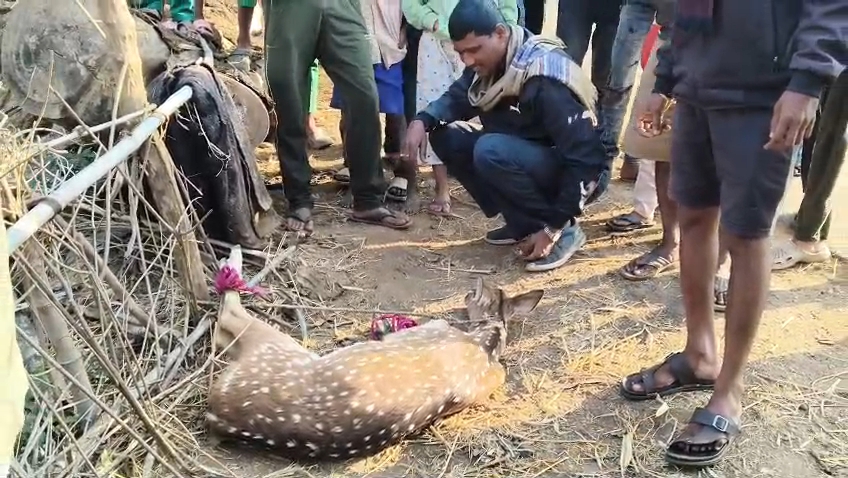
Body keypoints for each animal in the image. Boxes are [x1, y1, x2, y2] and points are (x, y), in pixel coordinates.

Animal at [206, 246, 544, 461]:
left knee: (228, 317)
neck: (486, 341)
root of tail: (216, 413)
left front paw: (383, 328)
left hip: (275, 349)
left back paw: (232, 259)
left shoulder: (429, 329)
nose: (467, 291)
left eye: (476, 293)